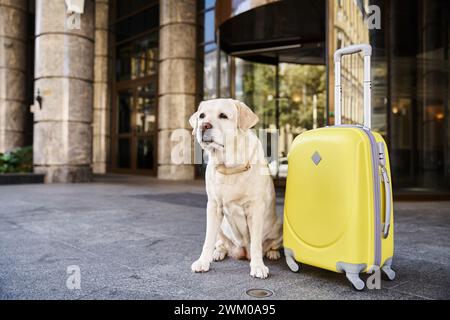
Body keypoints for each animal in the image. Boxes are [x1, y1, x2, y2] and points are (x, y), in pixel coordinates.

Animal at [189, 99, 282, 278]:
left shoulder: (255, 208)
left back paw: (272, 253)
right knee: (221, 243)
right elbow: (208, 240)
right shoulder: (213, 207)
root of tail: (242, 253)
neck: (229, 166)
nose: (204, 125)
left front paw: (258, 266)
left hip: (279, 226)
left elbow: (256, 244)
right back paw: (218, 253)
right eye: (202, 116)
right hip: (221, 227)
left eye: (223, 116)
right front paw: (203, 261)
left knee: (270, 244)